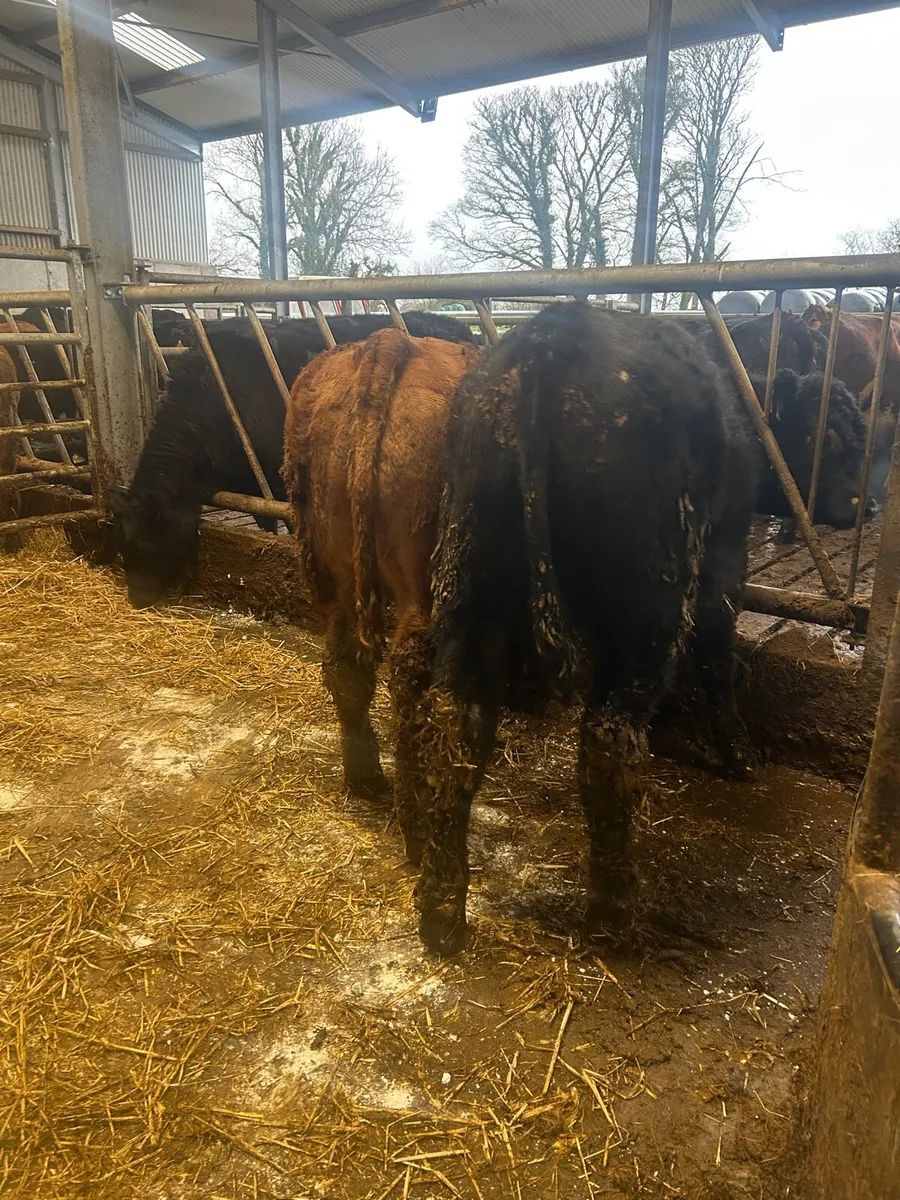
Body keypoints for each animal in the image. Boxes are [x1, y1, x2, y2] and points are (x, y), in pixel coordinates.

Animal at [410, 302, 870, 956]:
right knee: (608, 737)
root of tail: (553, 336)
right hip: (648, 605)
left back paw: (442, 909)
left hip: (470, 579)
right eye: (829, 437)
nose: (870, 505)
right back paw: (615, 913)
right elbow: (718, 655)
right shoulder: (723, 557)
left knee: (456, 722)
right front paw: (738, 753)